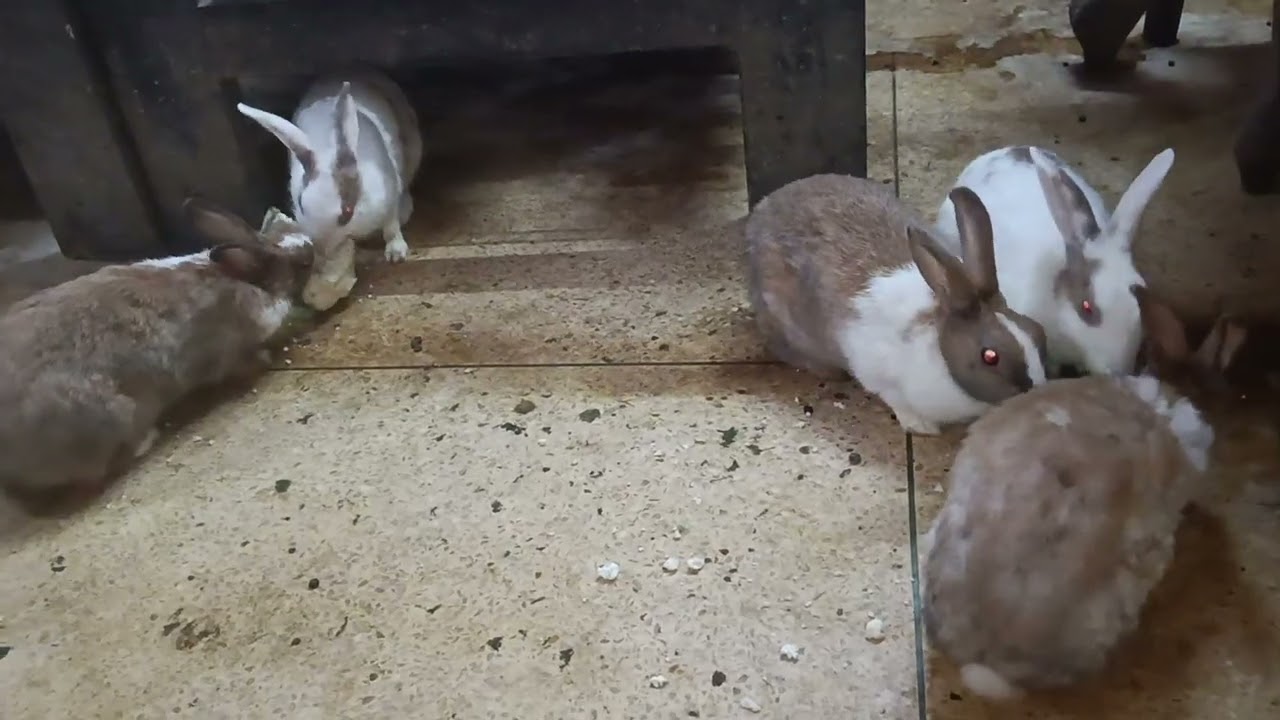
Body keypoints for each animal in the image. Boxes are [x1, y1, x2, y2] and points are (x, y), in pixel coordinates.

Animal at [0, 199, 314, 507]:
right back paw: (147, 439)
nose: (312, 246)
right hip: (111, 418)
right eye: (302, 263)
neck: (244, 280)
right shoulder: (225, 353)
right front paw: (264, 358)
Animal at [236, 69, 423, 265]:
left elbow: (391, 227)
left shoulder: (389, 197)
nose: (322, 250)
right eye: (301, 204)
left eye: (347, 212)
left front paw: (396, 253)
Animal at [745, 174, 1049, 435]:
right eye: (990, 356)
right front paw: (921, 427)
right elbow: (895, 399)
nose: (1033, 391)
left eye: (1037, 330)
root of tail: (762, 209)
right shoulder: (878, 373)